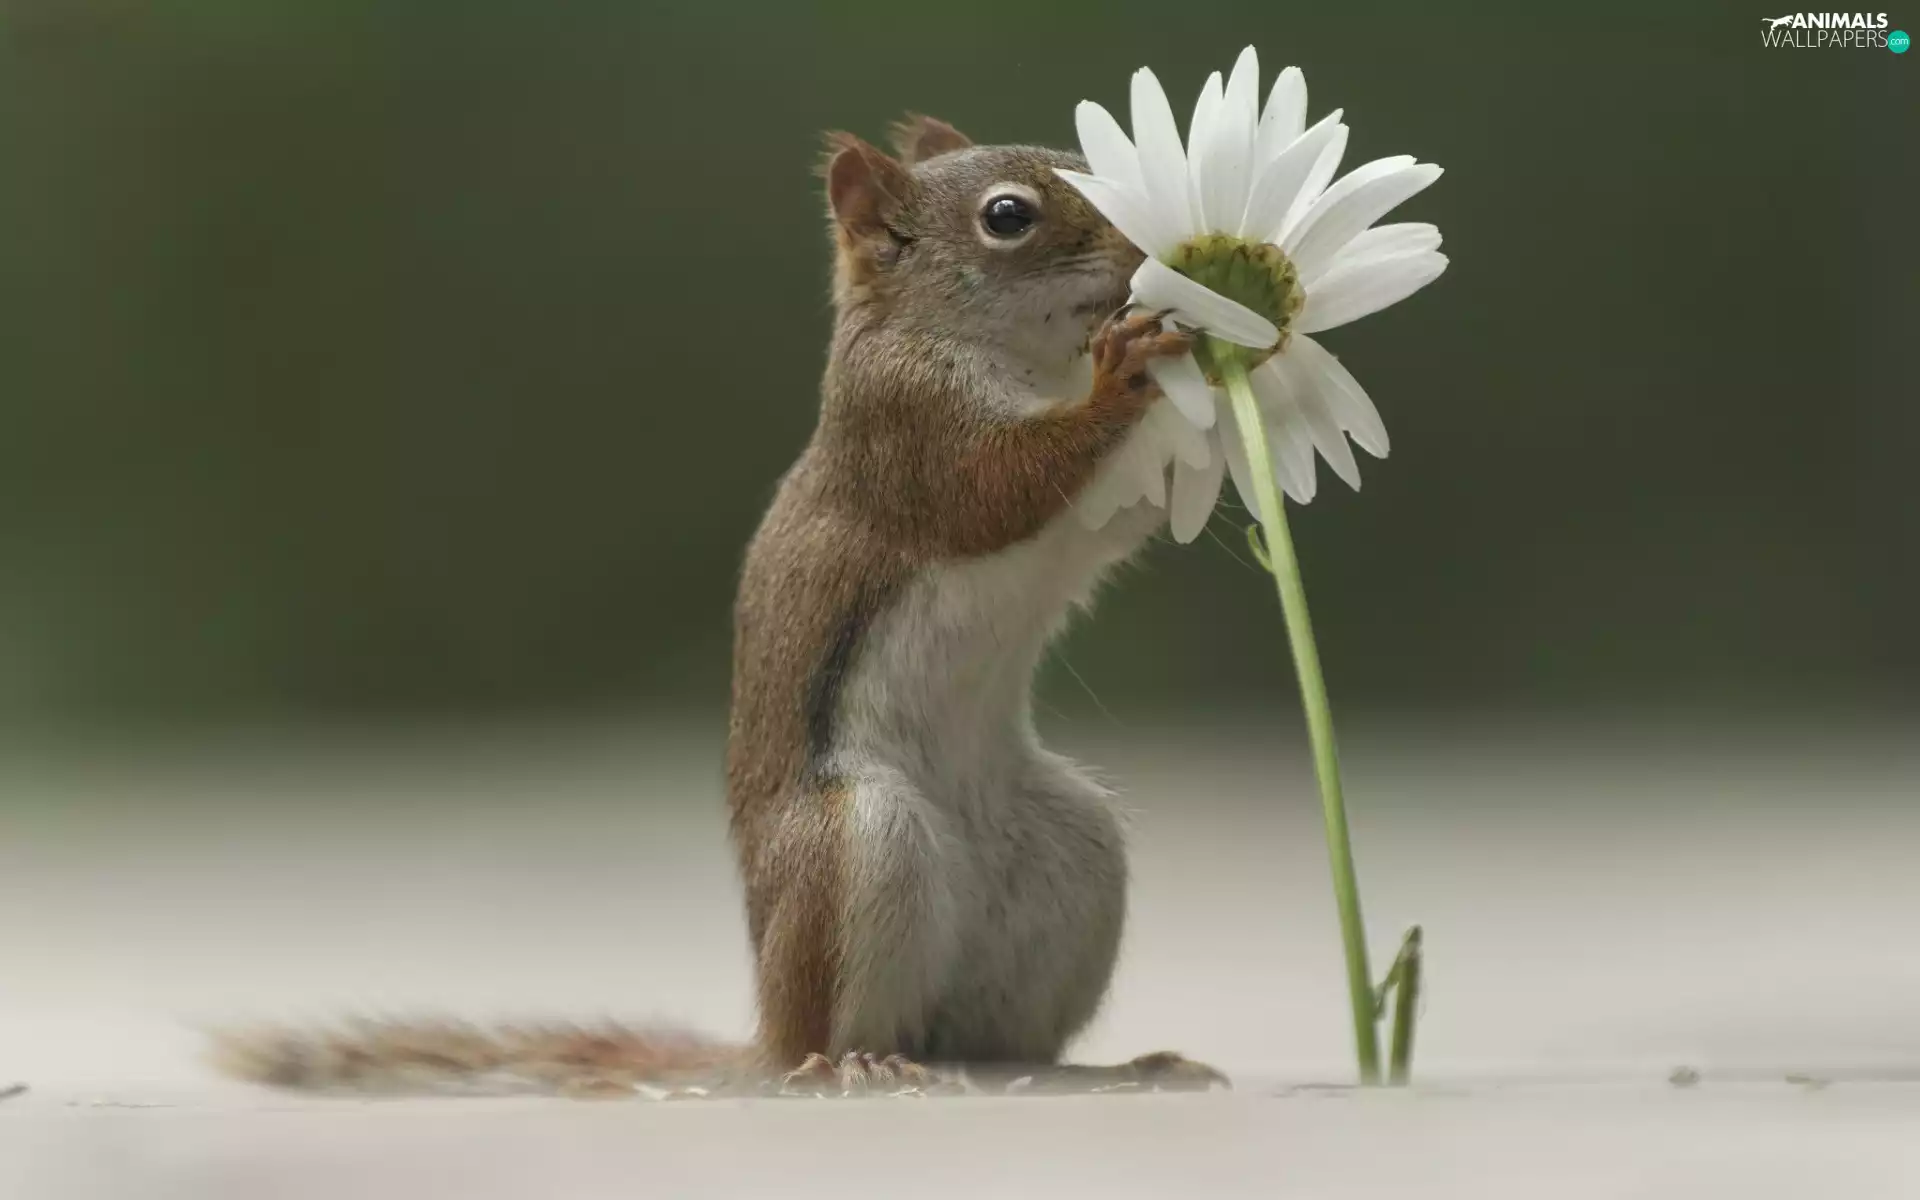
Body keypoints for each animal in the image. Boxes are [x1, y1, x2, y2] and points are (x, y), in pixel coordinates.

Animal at [209, 115, 1227, 1099]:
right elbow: (998, 490)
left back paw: (1110, 1068)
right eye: (1008, 216)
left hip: (1072, 856)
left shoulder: (1079, 504)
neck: (1016, 358)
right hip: (853, 844)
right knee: (832, 1031)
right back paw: (853, 1066)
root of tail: (762, 1042)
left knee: (995, 1042)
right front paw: (1127, 372)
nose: (1146, 249)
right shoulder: (908, 432)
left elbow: (1124, 510)